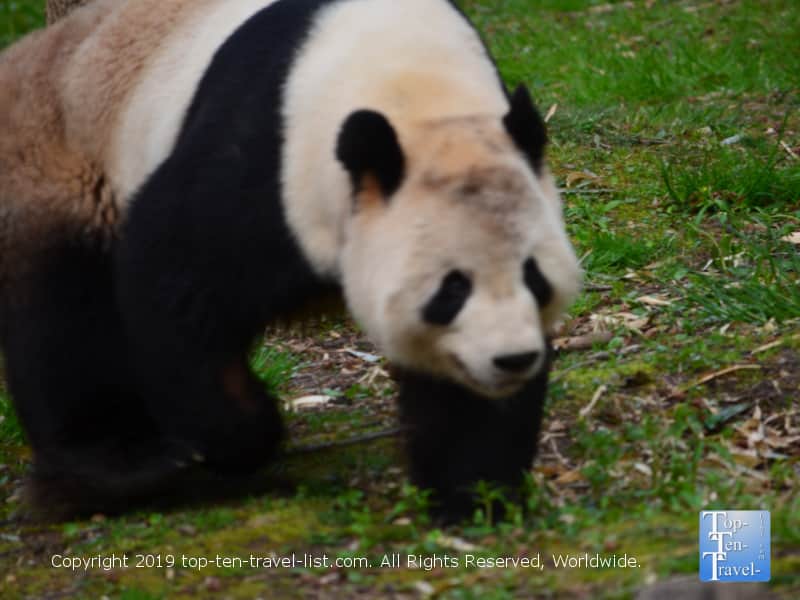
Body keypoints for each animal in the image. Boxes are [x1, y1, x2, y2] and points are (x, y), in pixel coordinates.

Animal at [0, 0, 581, 519]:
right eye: (452, 289)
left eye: (534, 277)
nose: (512, 359)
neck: (419, 96)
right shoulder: (264, 166)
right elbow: (171, 278)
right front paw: (247, 428)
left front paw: (474, 495)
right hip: (59, 168)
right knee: (65, 321)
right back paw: (122, 464)